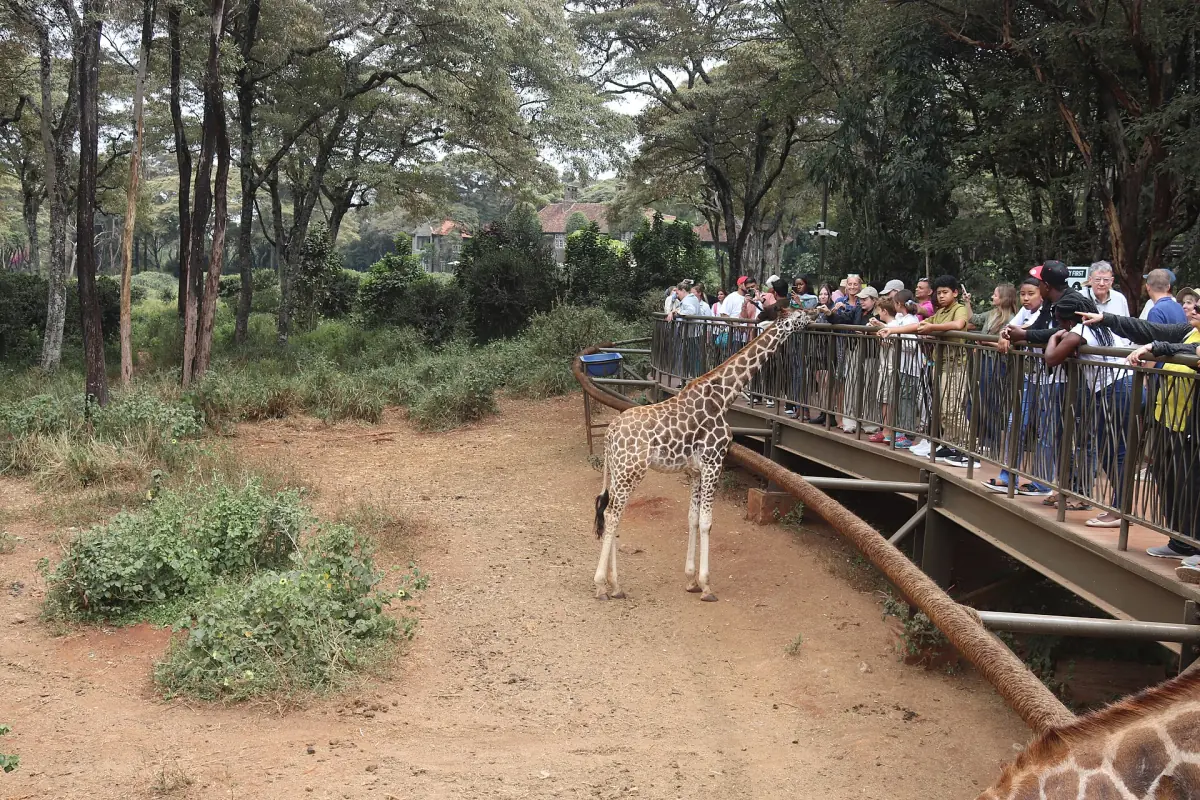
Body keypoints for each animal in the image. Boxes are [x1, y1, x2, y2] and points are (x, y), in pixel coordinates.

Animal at [591, 302, 813, 602]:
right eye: (798, 315)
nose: (816, 314)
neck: (724, 396)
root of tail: (610, 433)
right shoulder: (714, 462)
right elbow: (707, 521)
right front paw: (707, 586)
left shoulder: (696, 470)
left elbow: (693, 519)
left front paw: (691, 580)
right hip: (631, 472)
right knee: (613, 515)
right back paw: (602, 585)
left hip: (617, 471)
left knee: (612, 513)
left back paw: (616, 586)